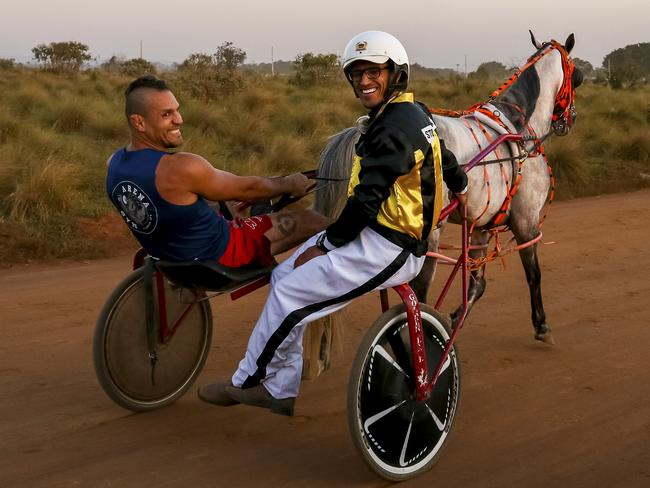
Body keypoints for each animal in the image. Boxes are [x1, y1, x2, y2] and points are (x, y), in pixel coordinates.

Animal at [314, 32, 584, 346]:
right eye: (576, 75)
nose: (570, 119)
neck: (518, 128)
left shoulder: (480, 226)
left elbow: (477, 283)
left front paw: (455, 319)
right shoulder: (526, 222)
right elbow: (534, 274)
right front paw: (541, 325)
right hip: (429, 235)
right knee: (418, 290)